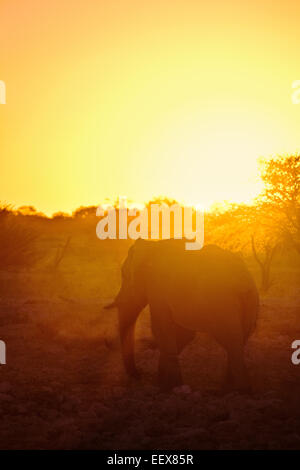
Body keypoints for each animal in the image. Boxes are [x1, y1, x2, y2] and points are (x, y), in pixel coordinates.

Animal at [106, 237, 258, 392]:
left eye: (124, 275)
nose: (139, 375)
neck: (152, 245)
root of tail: (244, 283)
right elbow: (184, 334)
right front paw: (165, 384)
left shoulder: (157, 287)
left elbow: (161, 329)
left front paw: (169, 387)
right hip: (250, 304)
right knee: (239, 342)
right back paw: (227, 390)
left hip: (223, 305)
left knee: (233, 343)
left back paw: (240, 391)